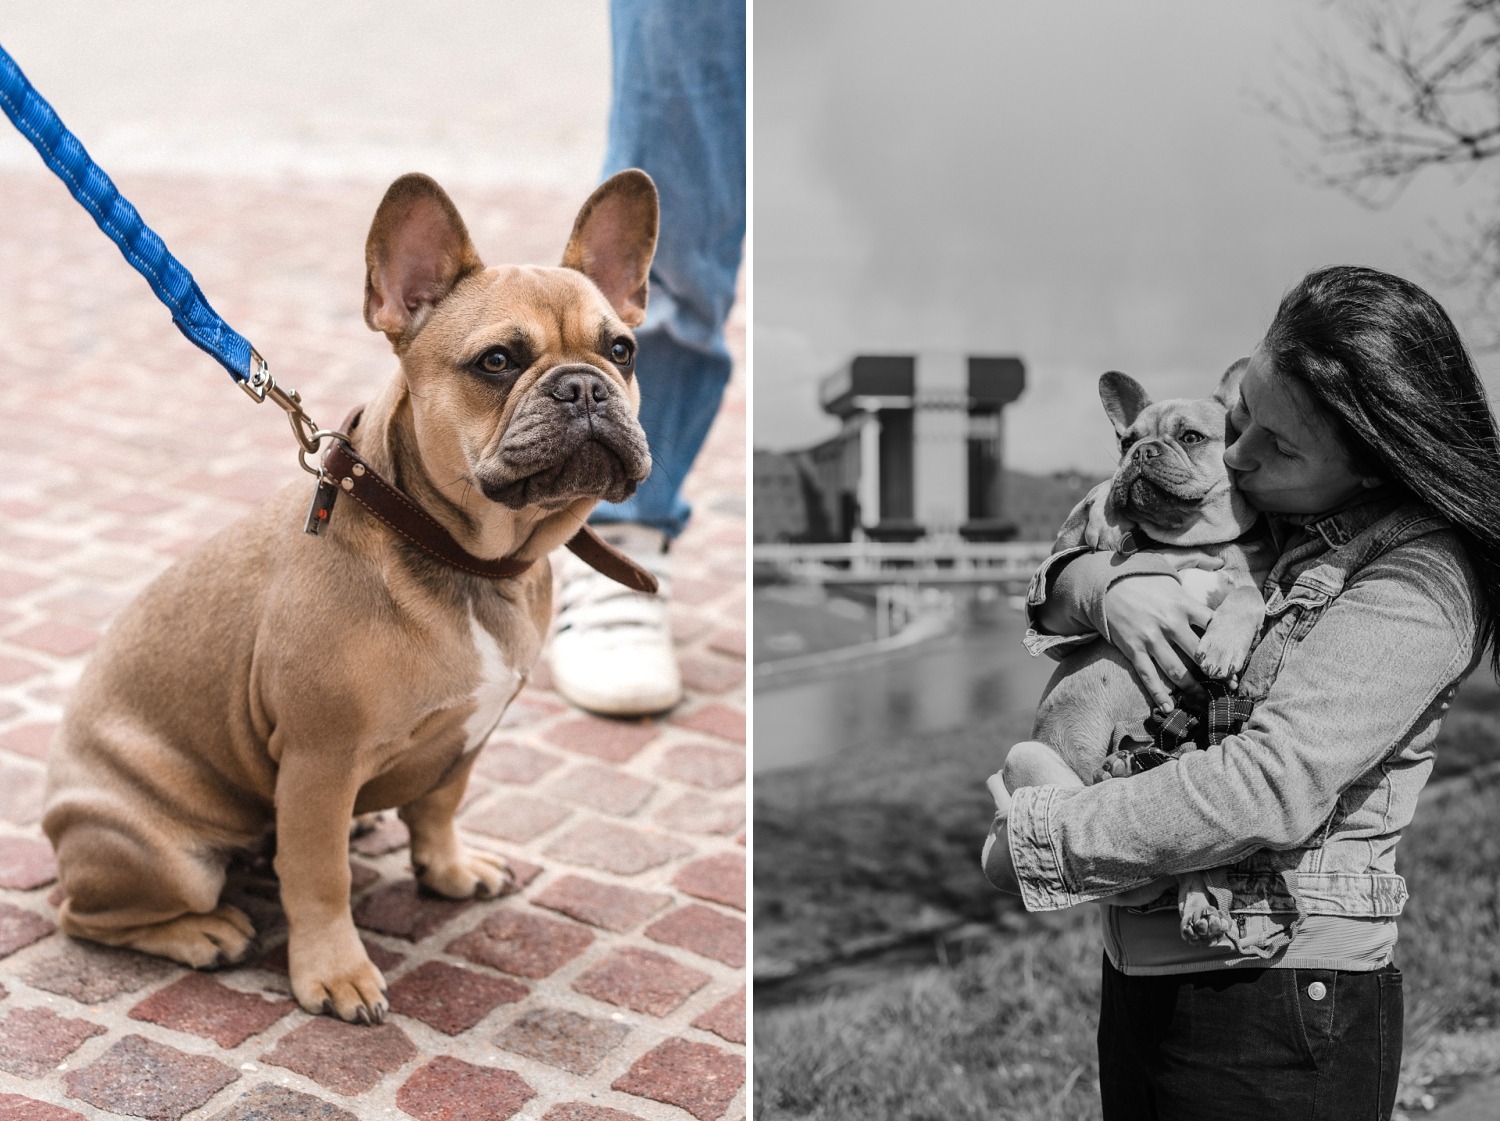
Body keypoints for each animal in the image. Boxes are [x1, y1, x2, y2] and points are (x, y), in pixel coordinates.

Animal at [41, 168, 660, 1026]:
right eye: (498, 361)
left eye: (622, 350)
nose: (584, 388)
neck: (470, 557)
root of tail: (56, 817)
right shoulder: (319, 760)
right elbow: (319, 876)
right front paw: (335, 973)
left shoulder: (468, 735)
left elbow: (439, 805)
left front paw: (449, 868)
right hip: (162, 853)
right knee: (84, 914)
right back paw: (202, 931)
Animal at [1002, 364, 1272, 942]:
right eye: (1126, 441)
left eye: (1190, 437)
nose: (1141, 453)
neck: (1186, 542)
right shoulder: (1064, 542)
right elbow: (1088, 516)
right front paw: (1109, 508)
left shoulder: (1247, 578)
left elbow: (1250, 596)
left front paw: (1224, 644)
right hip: (1029, 759)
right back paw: (1121, 772)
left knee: (1181, 858)